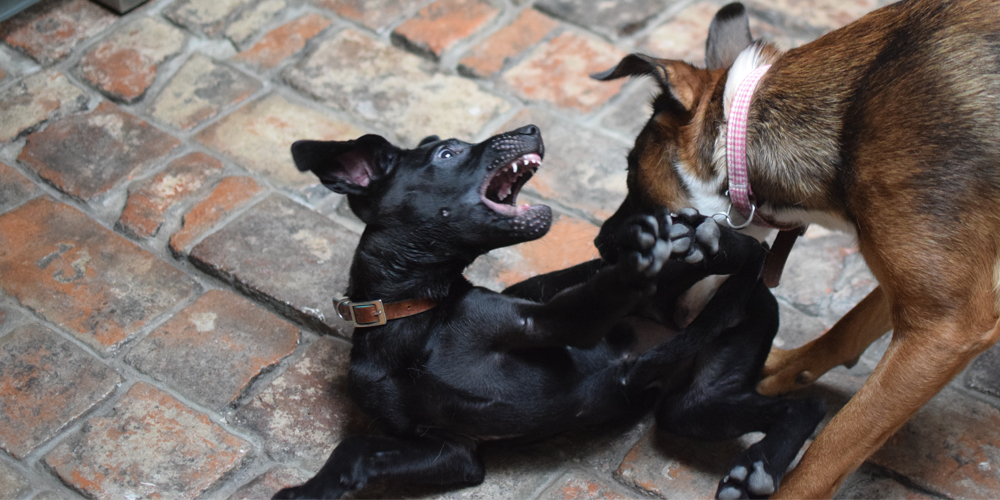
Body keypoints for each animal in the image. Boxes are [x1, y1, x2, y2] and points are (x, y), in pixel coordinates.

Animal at [272, 125, 825, 500]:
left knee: (743, 255)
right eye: (447, 153)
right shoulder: (453, 452)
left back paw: (693, 240)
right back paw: (759, 466)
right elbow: (354, 450)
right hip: (695, 407)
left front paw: (641, 257)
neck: (415, 318)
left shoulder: (545, 322)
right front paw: (312, 490)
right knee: (802, 406)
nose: (530, 129)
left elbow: (598, 292)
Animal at [592, 1, 1000, 498]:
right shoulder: (940, 294)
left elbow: (832, 449)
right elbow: (849, 326)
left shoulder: (947, 325)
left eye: (631, 173)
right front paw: (786, 370)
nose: (599, 241)